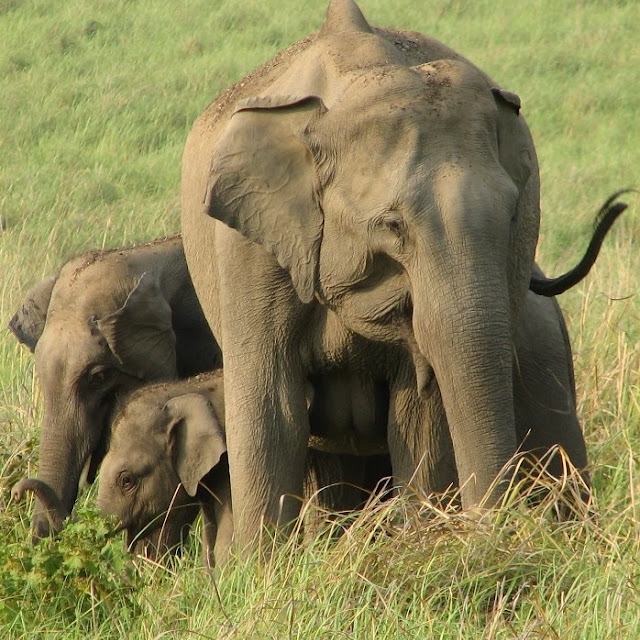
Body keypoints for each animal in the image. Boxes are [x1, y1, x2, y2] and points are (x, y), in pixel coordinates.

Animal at [181, 2, 620, 548]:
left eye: (514, 216)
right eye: (392, 225)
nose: (487, 531)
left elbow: (419, 414)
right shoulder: (249, 250)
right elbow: (273, 411)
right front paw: (261, 567)